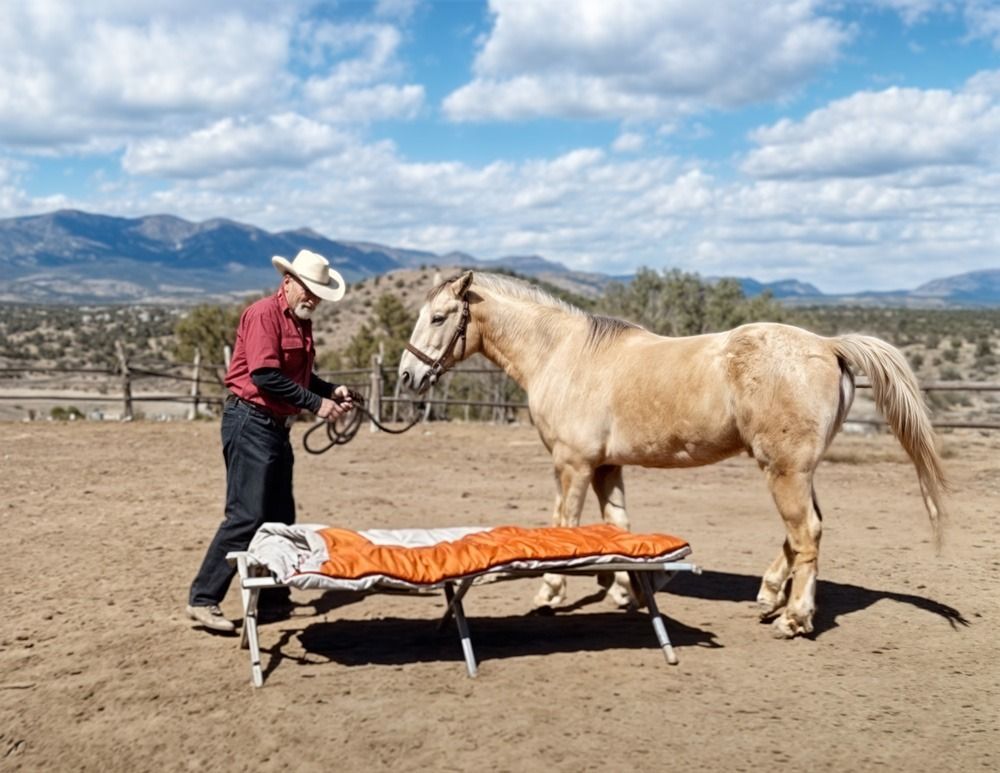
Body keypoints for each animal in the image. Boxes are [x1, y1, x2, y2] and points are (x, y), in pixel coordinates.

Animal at [397, 270, 948, 638]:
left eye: (440, 317)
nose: (408, 375)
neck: (562, 355)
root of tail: (829, 345)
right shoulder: (607, 466)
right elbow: (618, 527)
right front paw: (628, 590)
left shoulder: (572, 464)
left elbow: (564, 525)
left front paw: (550, 593)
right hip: (793, 469)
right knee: (806, 530)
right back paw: (770, 596)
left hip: (785, 469)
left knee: (806, 532)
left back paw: (794, 618)